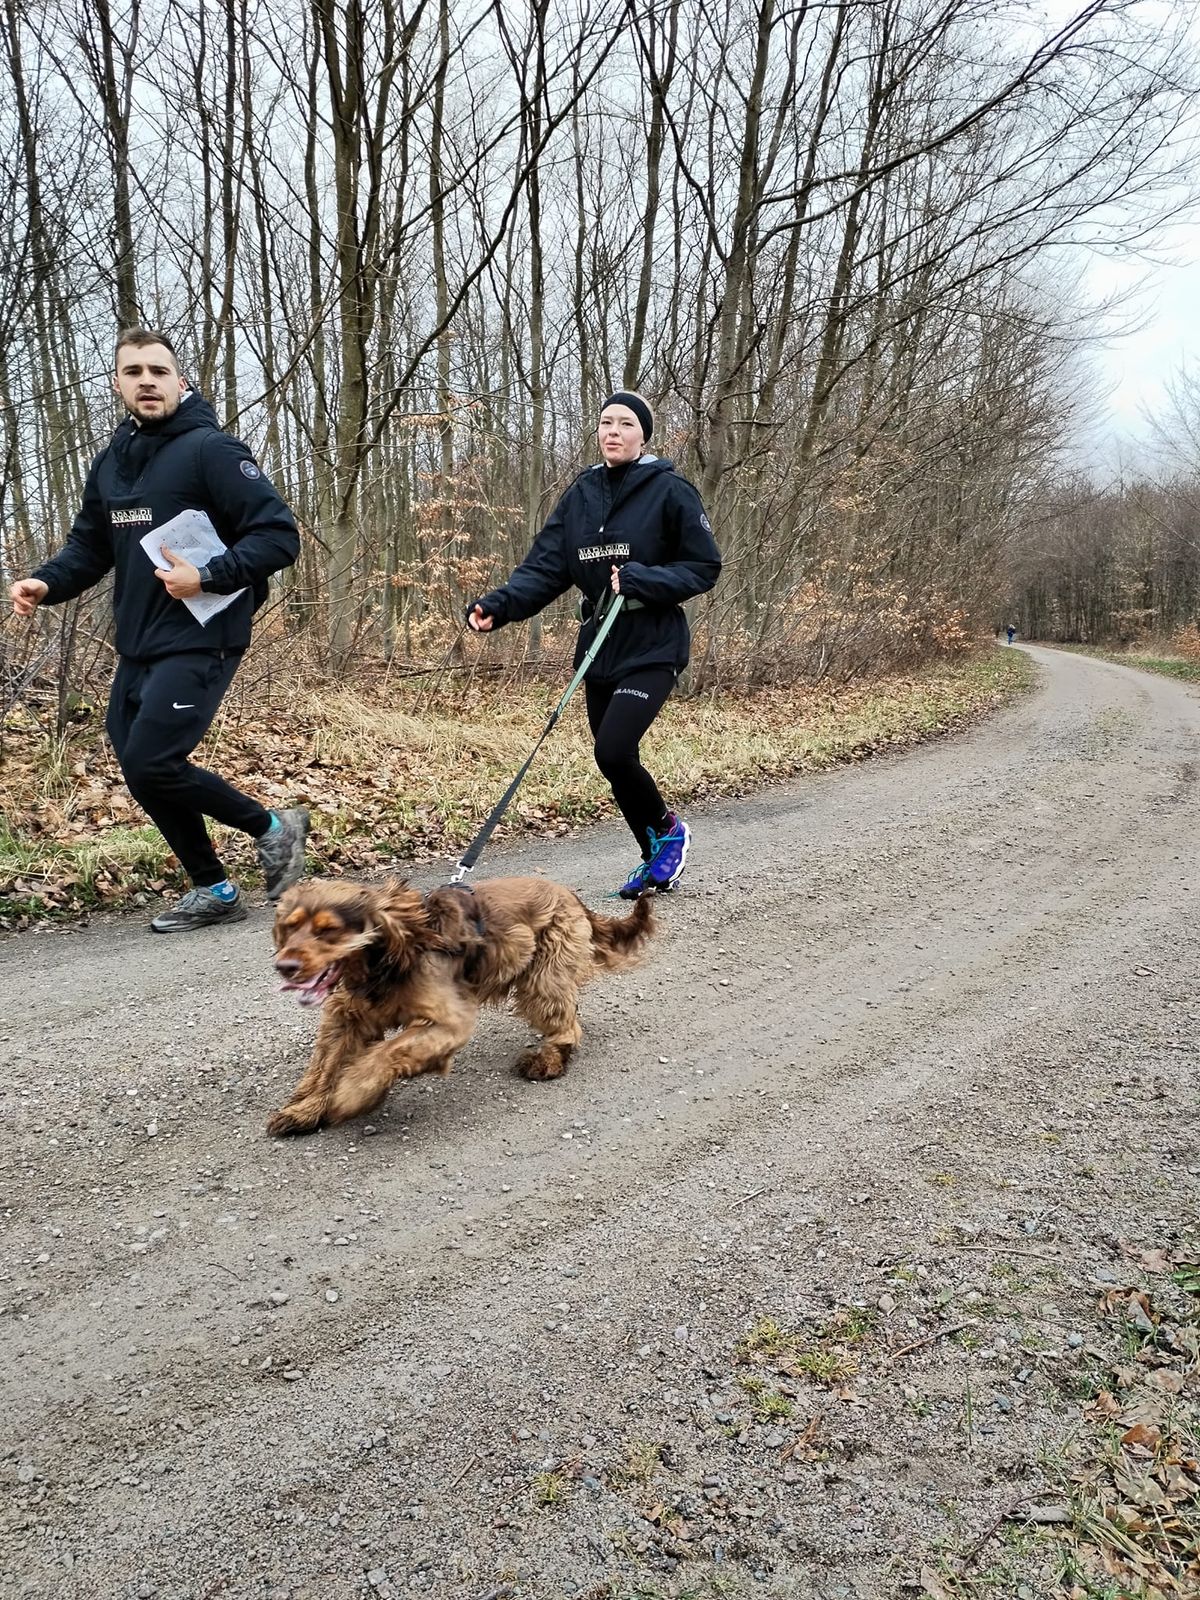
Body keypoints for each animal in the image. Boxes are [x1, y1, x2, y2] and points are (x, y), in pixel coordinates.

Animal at [265, 876, 659, 1139]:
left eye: (328, 930)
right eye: (291, 927)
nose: (284, 966)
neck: (391, 955)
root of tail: (571, 896)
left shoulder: (448, 1021)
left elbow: (388, 1053)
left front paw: (353, 1095)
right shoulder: (347, 1015)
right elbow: (328, 1064)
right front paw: (304, 1111)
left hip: (543, 978)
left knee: (567, 1024)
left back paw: (547, 1061)